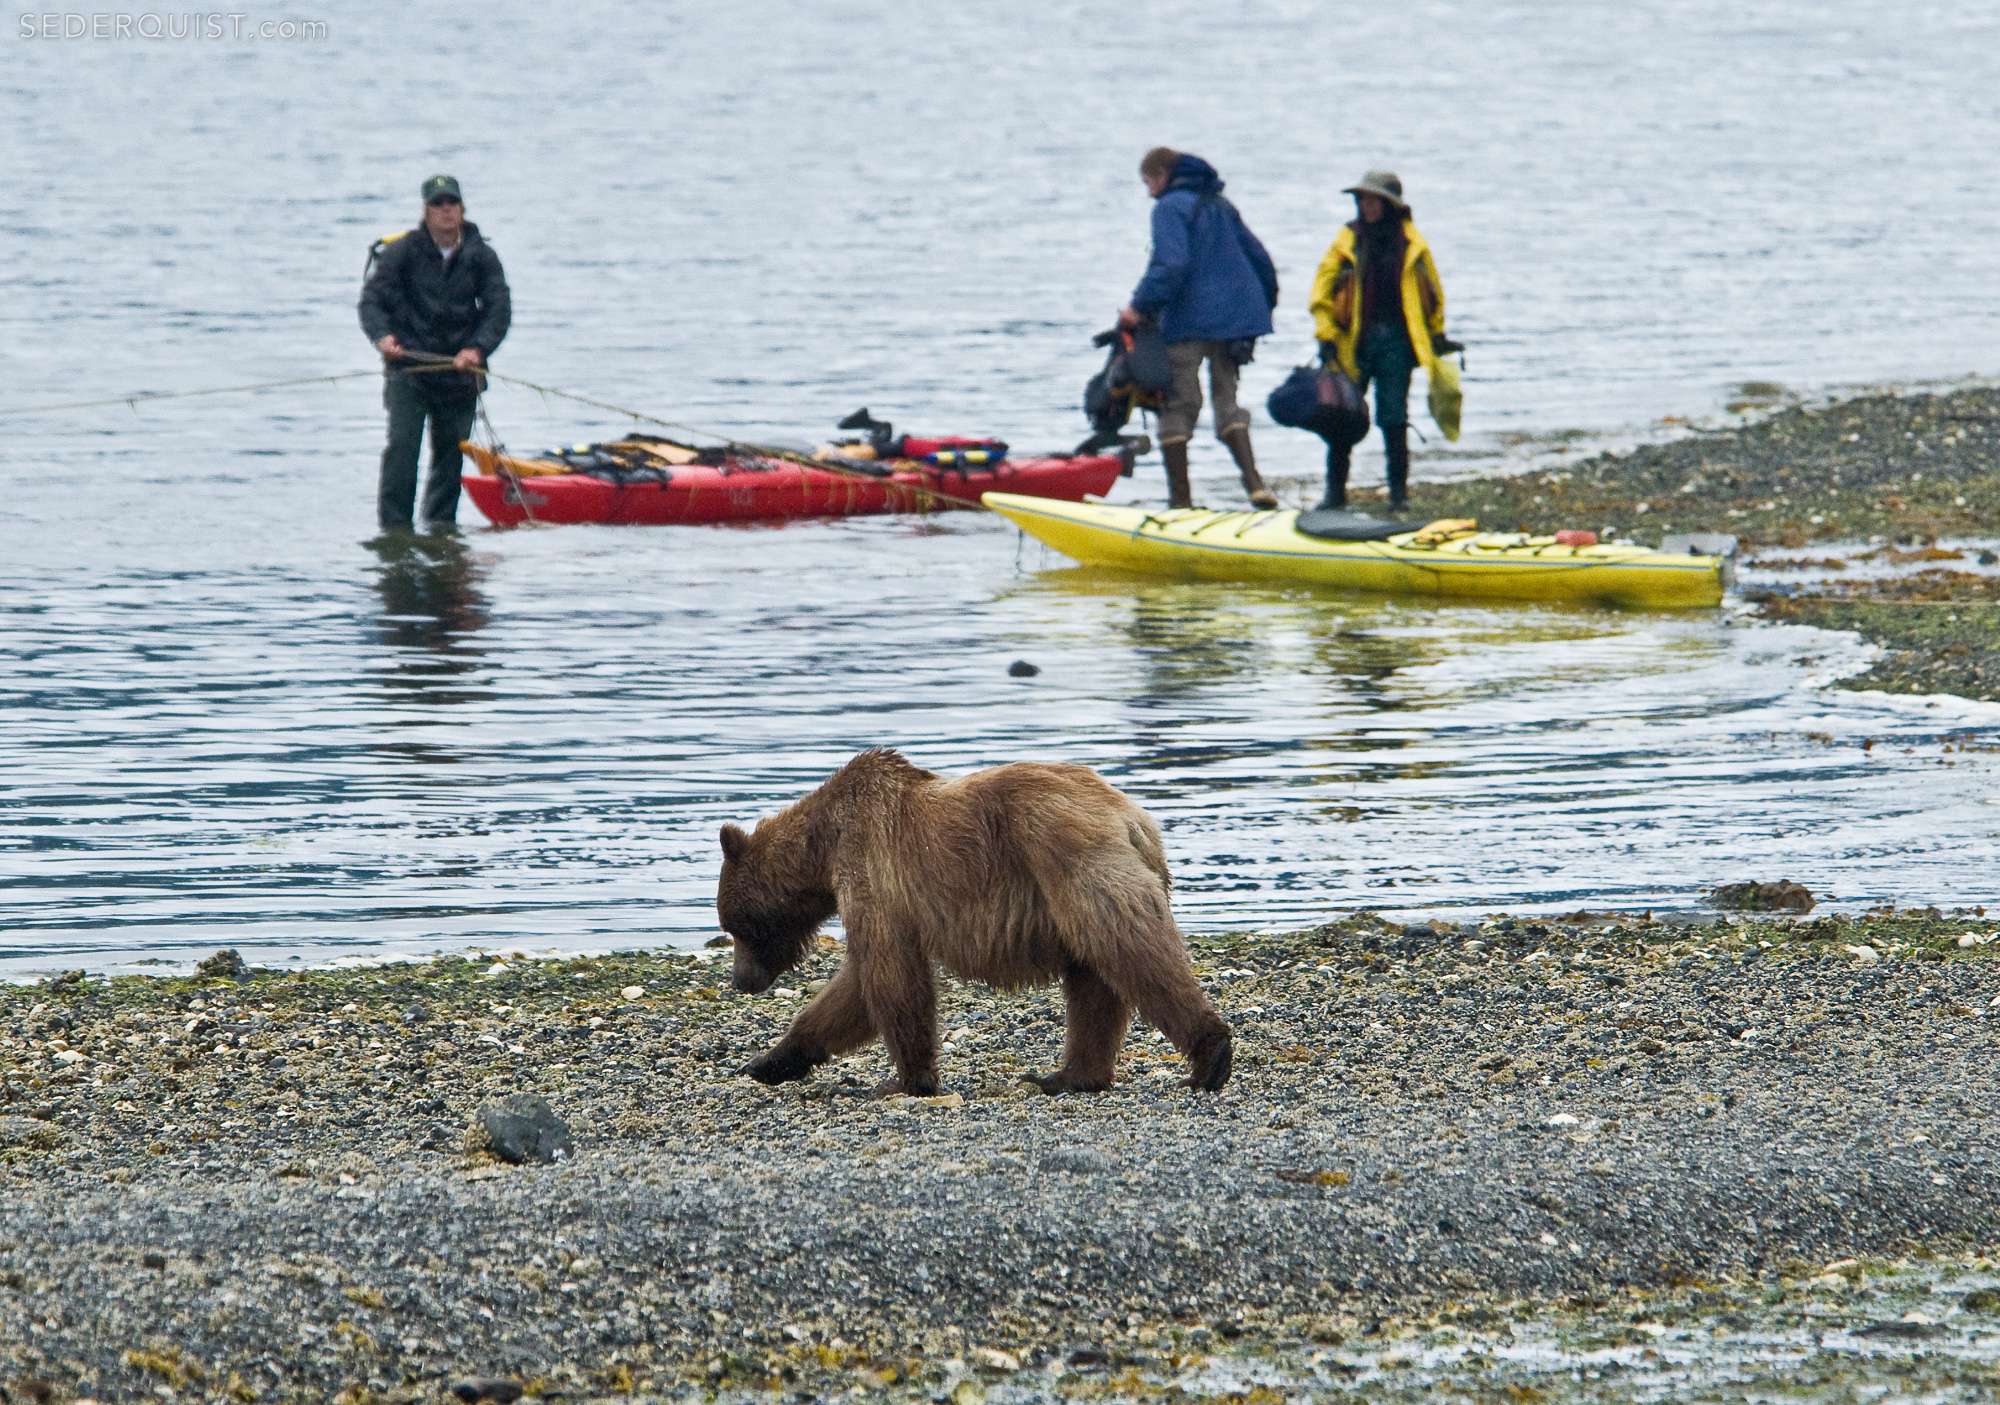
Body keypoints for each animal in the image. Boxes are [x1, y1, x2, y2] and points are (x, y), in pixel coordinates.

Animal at [716, 748, 1232, 1096]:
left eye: (737, 927)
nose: (741, 981)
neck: (823, 845)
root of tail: (1134, 818)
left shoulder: (873, 871)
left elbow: (888, 975)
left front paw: (906, 1081)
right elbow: (856, 988)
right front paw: (770, 1059)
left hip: (1070, 858)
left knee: (1129, 948)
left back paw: (1210, 1056)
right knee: (1092, 979)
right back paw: (1068, 1076)